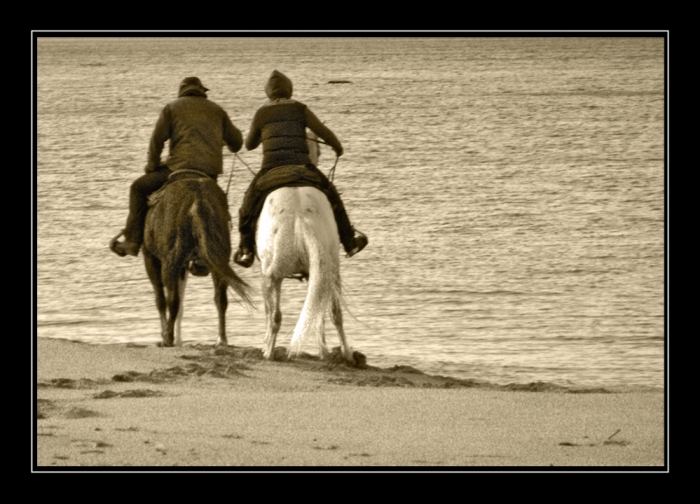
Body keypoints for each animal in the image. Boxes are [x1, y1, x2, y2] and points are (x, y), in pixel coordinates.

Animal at [142, 172, 252, 346]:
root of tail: (196, 202)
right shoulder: (182, 268)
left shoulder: (151, 259)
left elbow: (161, 300)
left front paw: (166, 335)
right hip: (218, 263)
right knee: (221, 299)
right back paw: (221, 339)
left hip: (169, 264)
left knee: (172, 300)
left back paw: (168, 339)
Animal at [254, 132, 356, 364]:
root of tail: (301, 218)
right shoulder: (314, 274)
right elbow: (318, 315)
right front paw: (323, 350)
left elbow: (269, 313)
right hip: (328, 271)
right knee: (334, 312)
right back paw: (344, 355)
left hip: (272, 276)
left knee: (275, 316)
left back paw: (268, 352)